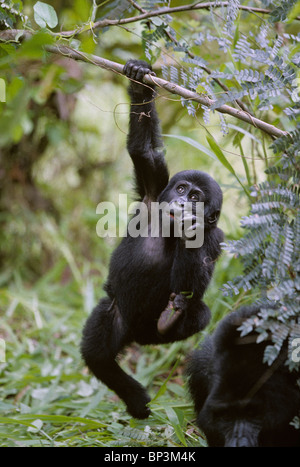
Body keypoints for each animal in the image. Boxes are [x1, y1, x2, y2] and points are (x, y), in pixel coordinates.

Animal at [81, 59, 224, 420]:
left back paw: (168, 321)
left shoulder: (216, 238)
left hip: (155, 334)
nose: (183, 203)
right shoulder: (154, 187)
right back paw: (134, 397)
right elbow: (143, 152)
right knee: (98, 354)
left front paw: (192, 229)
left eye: (196, 198)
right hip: (115, 313)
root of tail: (137, 337)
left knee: (198, 312)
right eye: (182, 189)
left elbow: (193, 284)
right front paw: (139, 80)